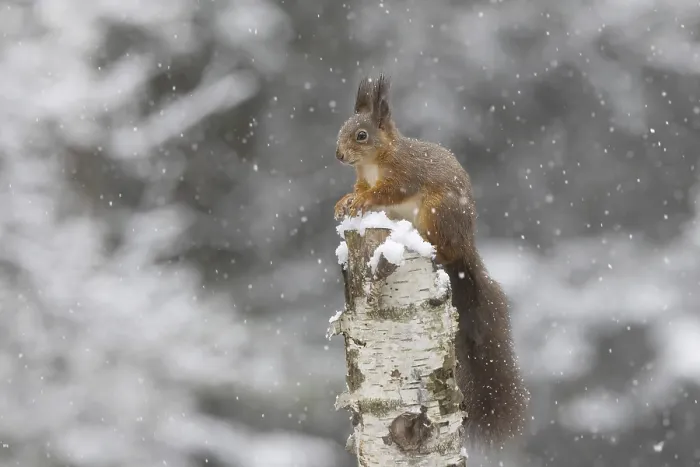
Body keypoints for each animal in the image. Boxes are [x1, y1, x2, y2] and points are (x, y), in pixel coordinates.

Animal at [333, 74, 529, 446]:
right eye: (342, 129)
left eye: (361, 135)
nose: (337, 154)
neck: (374, 162)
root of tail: (465, 244)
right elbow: (358, 191)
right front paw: (345, 201)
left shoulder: (405, 174)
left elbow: (386, 193)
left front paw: (362, 201)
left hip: (437, 213)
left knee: (444, 248)